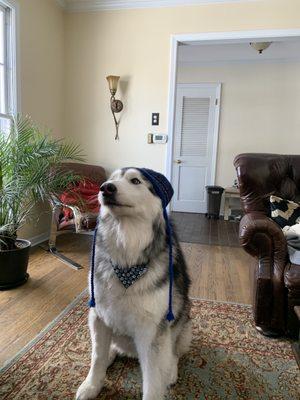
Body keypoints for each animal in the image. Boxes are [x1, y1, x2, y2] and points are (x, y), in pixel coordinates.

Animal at [76, 167, 191, 400]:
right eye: (110, 180)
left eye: (135, 181)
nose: (106, 188)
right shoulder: (98, 316)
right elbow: (97, 356)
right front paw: (92, 386)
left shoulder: (152, 331)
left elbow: (153, 381)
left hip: (182, 324)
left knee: (173, 353)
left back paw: (171, 372)